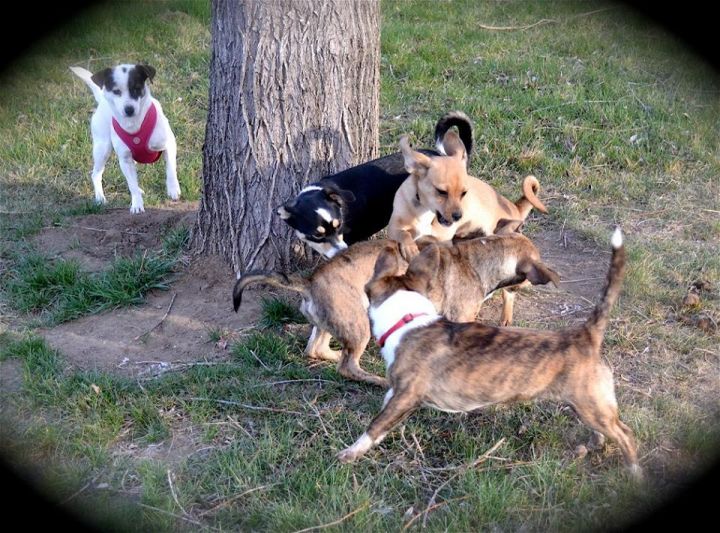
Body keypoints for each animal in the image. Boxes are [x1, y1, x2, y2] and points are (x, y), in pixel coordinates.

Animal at [70, 62, 181, 212]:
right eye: (116, 91)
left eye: (136, 88)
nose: (129, 109)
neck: (134, 124)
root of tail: (102, 100)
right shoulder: (125, 159)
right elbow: (131, 184)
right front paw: (137, 204)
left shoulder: (169, 145)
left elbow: (170, 168)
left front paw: (173, 189)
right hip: (102, 148)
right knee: (96, 174)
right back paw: (100, 197)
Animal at [233, 227, 560, 384]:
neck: (480, 257)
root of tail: (309, 281)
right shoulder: (461, 317)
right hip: (359, 321)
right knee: (346, 367)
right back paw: (375, 378)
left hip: (331, 322)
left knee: (317, 349)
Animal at [338, 227, 640, 480]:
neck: (407, 319)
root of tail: (585, 335)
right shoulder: (396, 392)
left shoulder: (406, 396)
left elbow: (376, 426)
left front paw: (349, 454)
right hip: (588, 405)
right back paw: (595, 444)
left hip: (591, 404)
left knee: (626, 434)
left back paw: (634, 472)